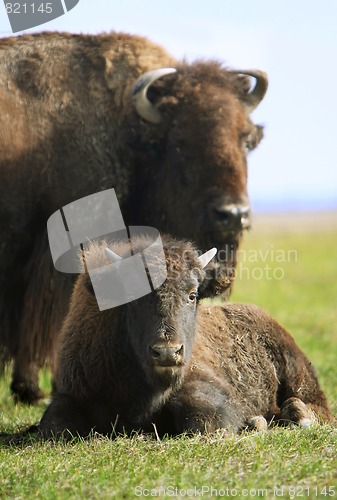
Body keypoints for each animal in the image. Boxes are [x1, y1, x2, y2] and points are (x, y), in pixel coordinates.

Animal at [37, 236, 330, 440]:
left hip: (297, 374)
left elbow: (205, 420)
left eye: (192, 294)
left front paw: (252, 423)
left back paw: (298, 418)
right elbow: (54, 427)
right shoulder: (74, 392)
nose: (167, 352)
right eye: (134, 298)